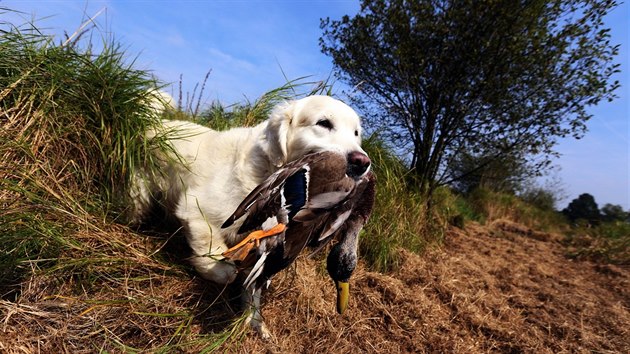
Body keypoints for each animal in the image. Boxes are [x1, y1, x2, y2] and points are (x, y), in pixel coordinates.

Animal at [132, 95, 370, 336]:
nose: (362, 162)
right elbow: (221, 264)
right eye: (323, 123)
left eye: (356, 133)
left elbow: (253, 285)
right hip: (138, 198)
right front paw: (216, 267)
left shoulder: (264, 246)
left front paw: (253, 321)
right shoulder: (195, 209)